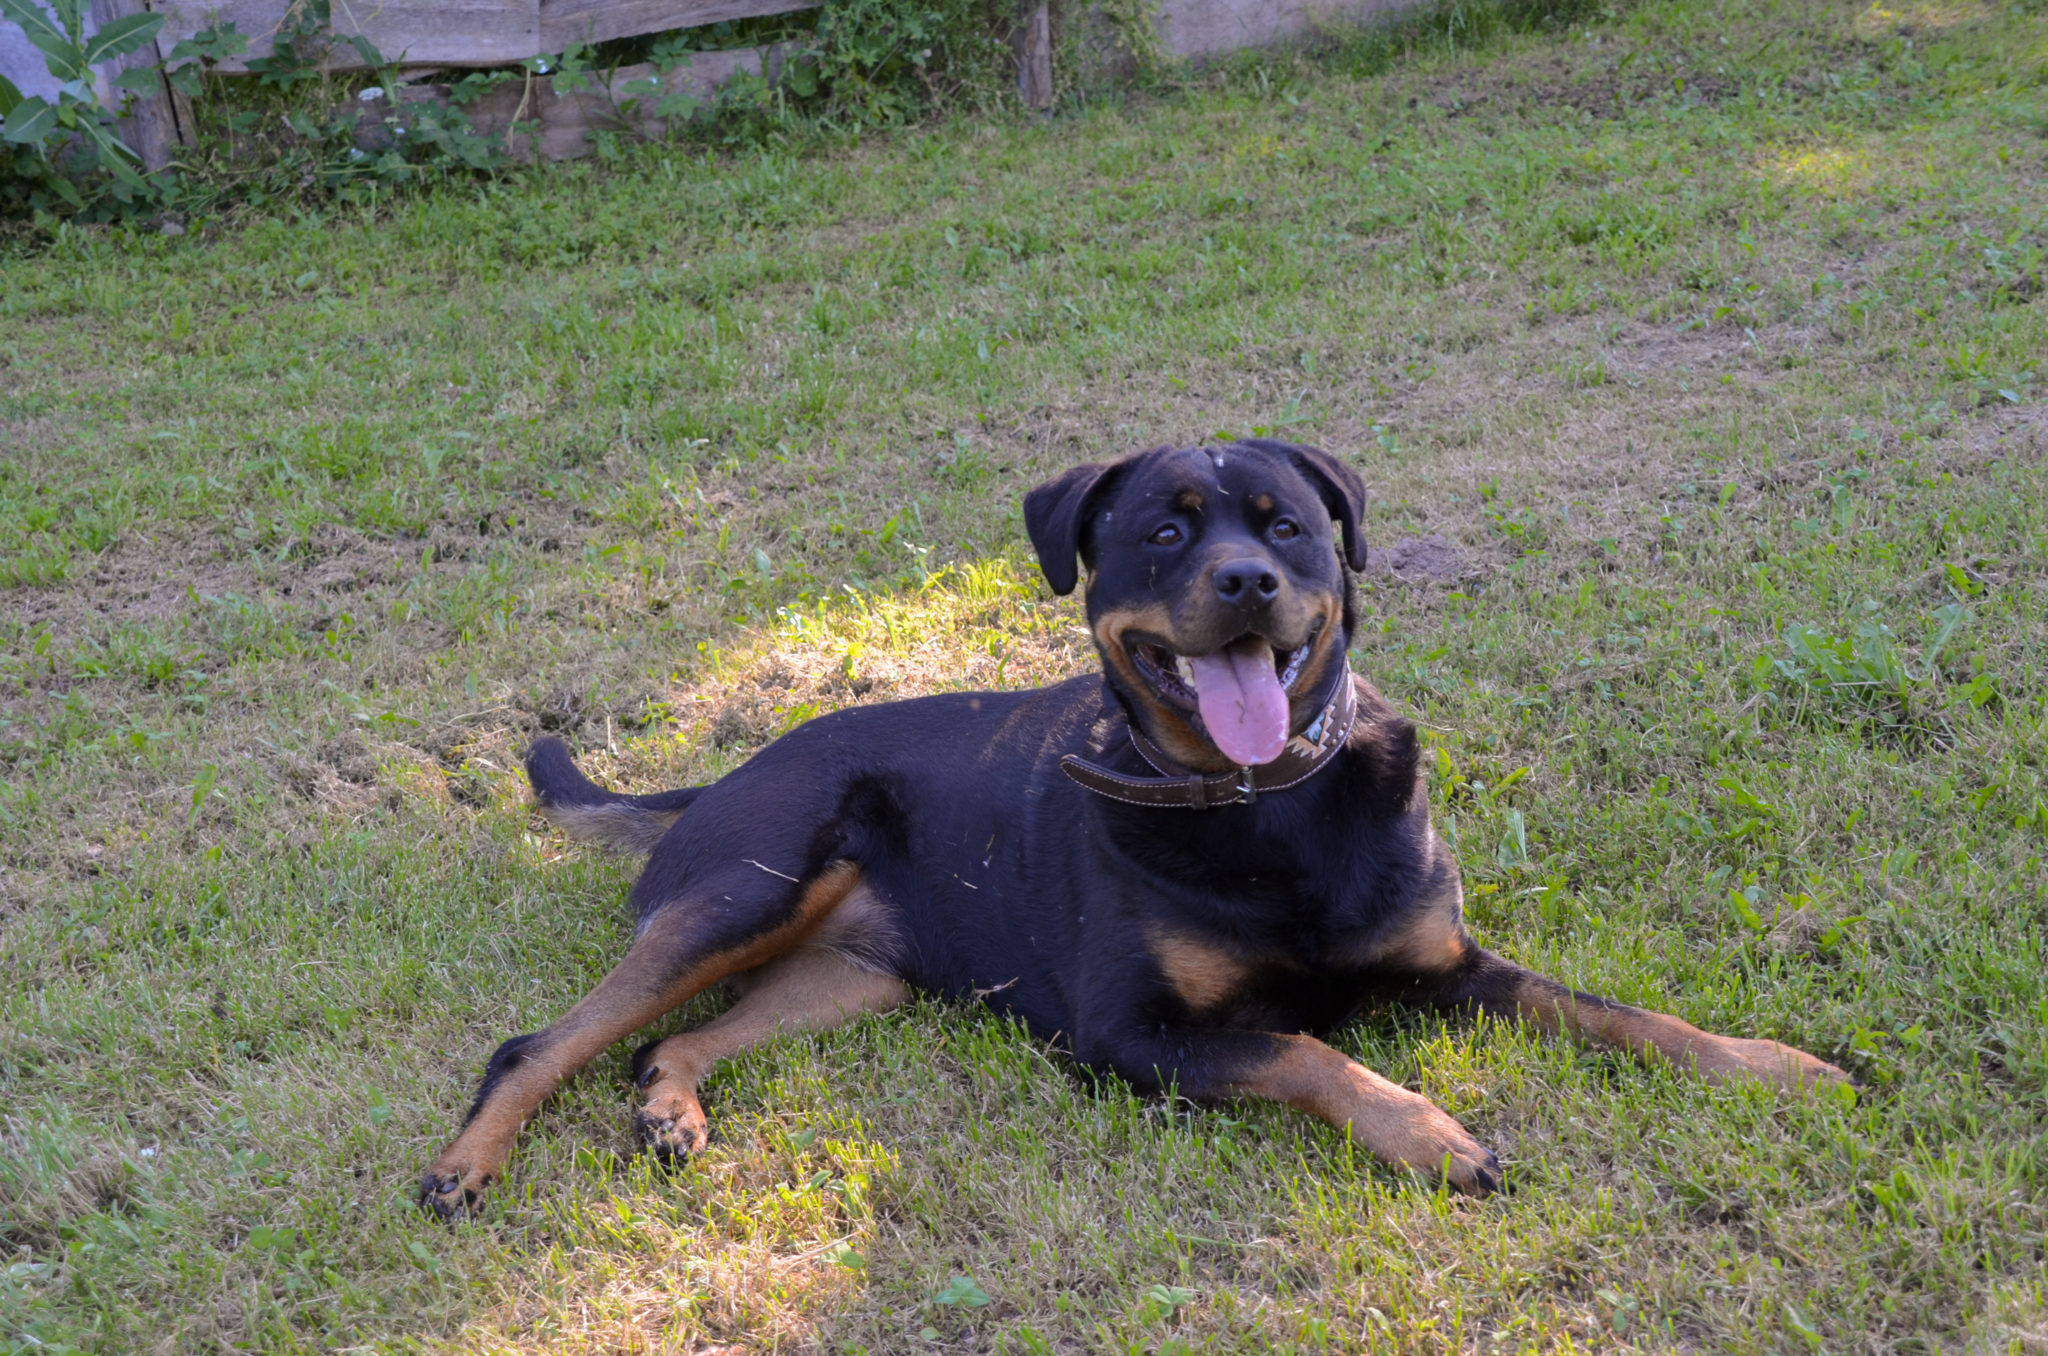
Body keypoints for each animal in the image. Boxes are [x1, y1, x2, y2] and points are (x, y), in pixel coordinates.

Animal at [419, 444, 1859, 1220]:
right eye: (1164, 528)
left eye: (1287, 526)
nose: (1248, 582)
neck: (1264, 804)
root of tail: (718, 773)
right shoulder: (1131, 1038)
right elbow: (1306, 1049)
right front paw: (1430, 1133)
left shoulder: (1451, 964)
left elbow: (1620, 1014)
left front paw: (1771, 1066)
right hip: (747, 890)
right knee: (540, 1044)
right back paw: (465, 1166)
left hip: (857, 973)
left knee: (671, 1041)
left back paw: (671, 1109)